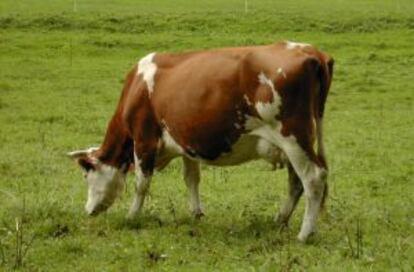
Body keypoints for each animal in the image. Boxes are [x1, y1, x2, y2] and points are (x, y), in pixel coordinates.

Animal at [68, 41, 334, 241]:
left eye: (86, 175)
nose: (88, 210)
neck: (136, 88)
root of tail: (310, 51)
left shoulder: (144, 139)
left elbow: (141, 184)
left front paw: (132, 217)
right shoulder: (187, 143)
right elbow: (191, 179)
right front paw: (196, 214)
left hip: (293, 137)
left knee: (313, 178)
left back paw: (305, 234)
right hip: (296, 142)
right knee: (297, 182)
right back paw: (280, 219)